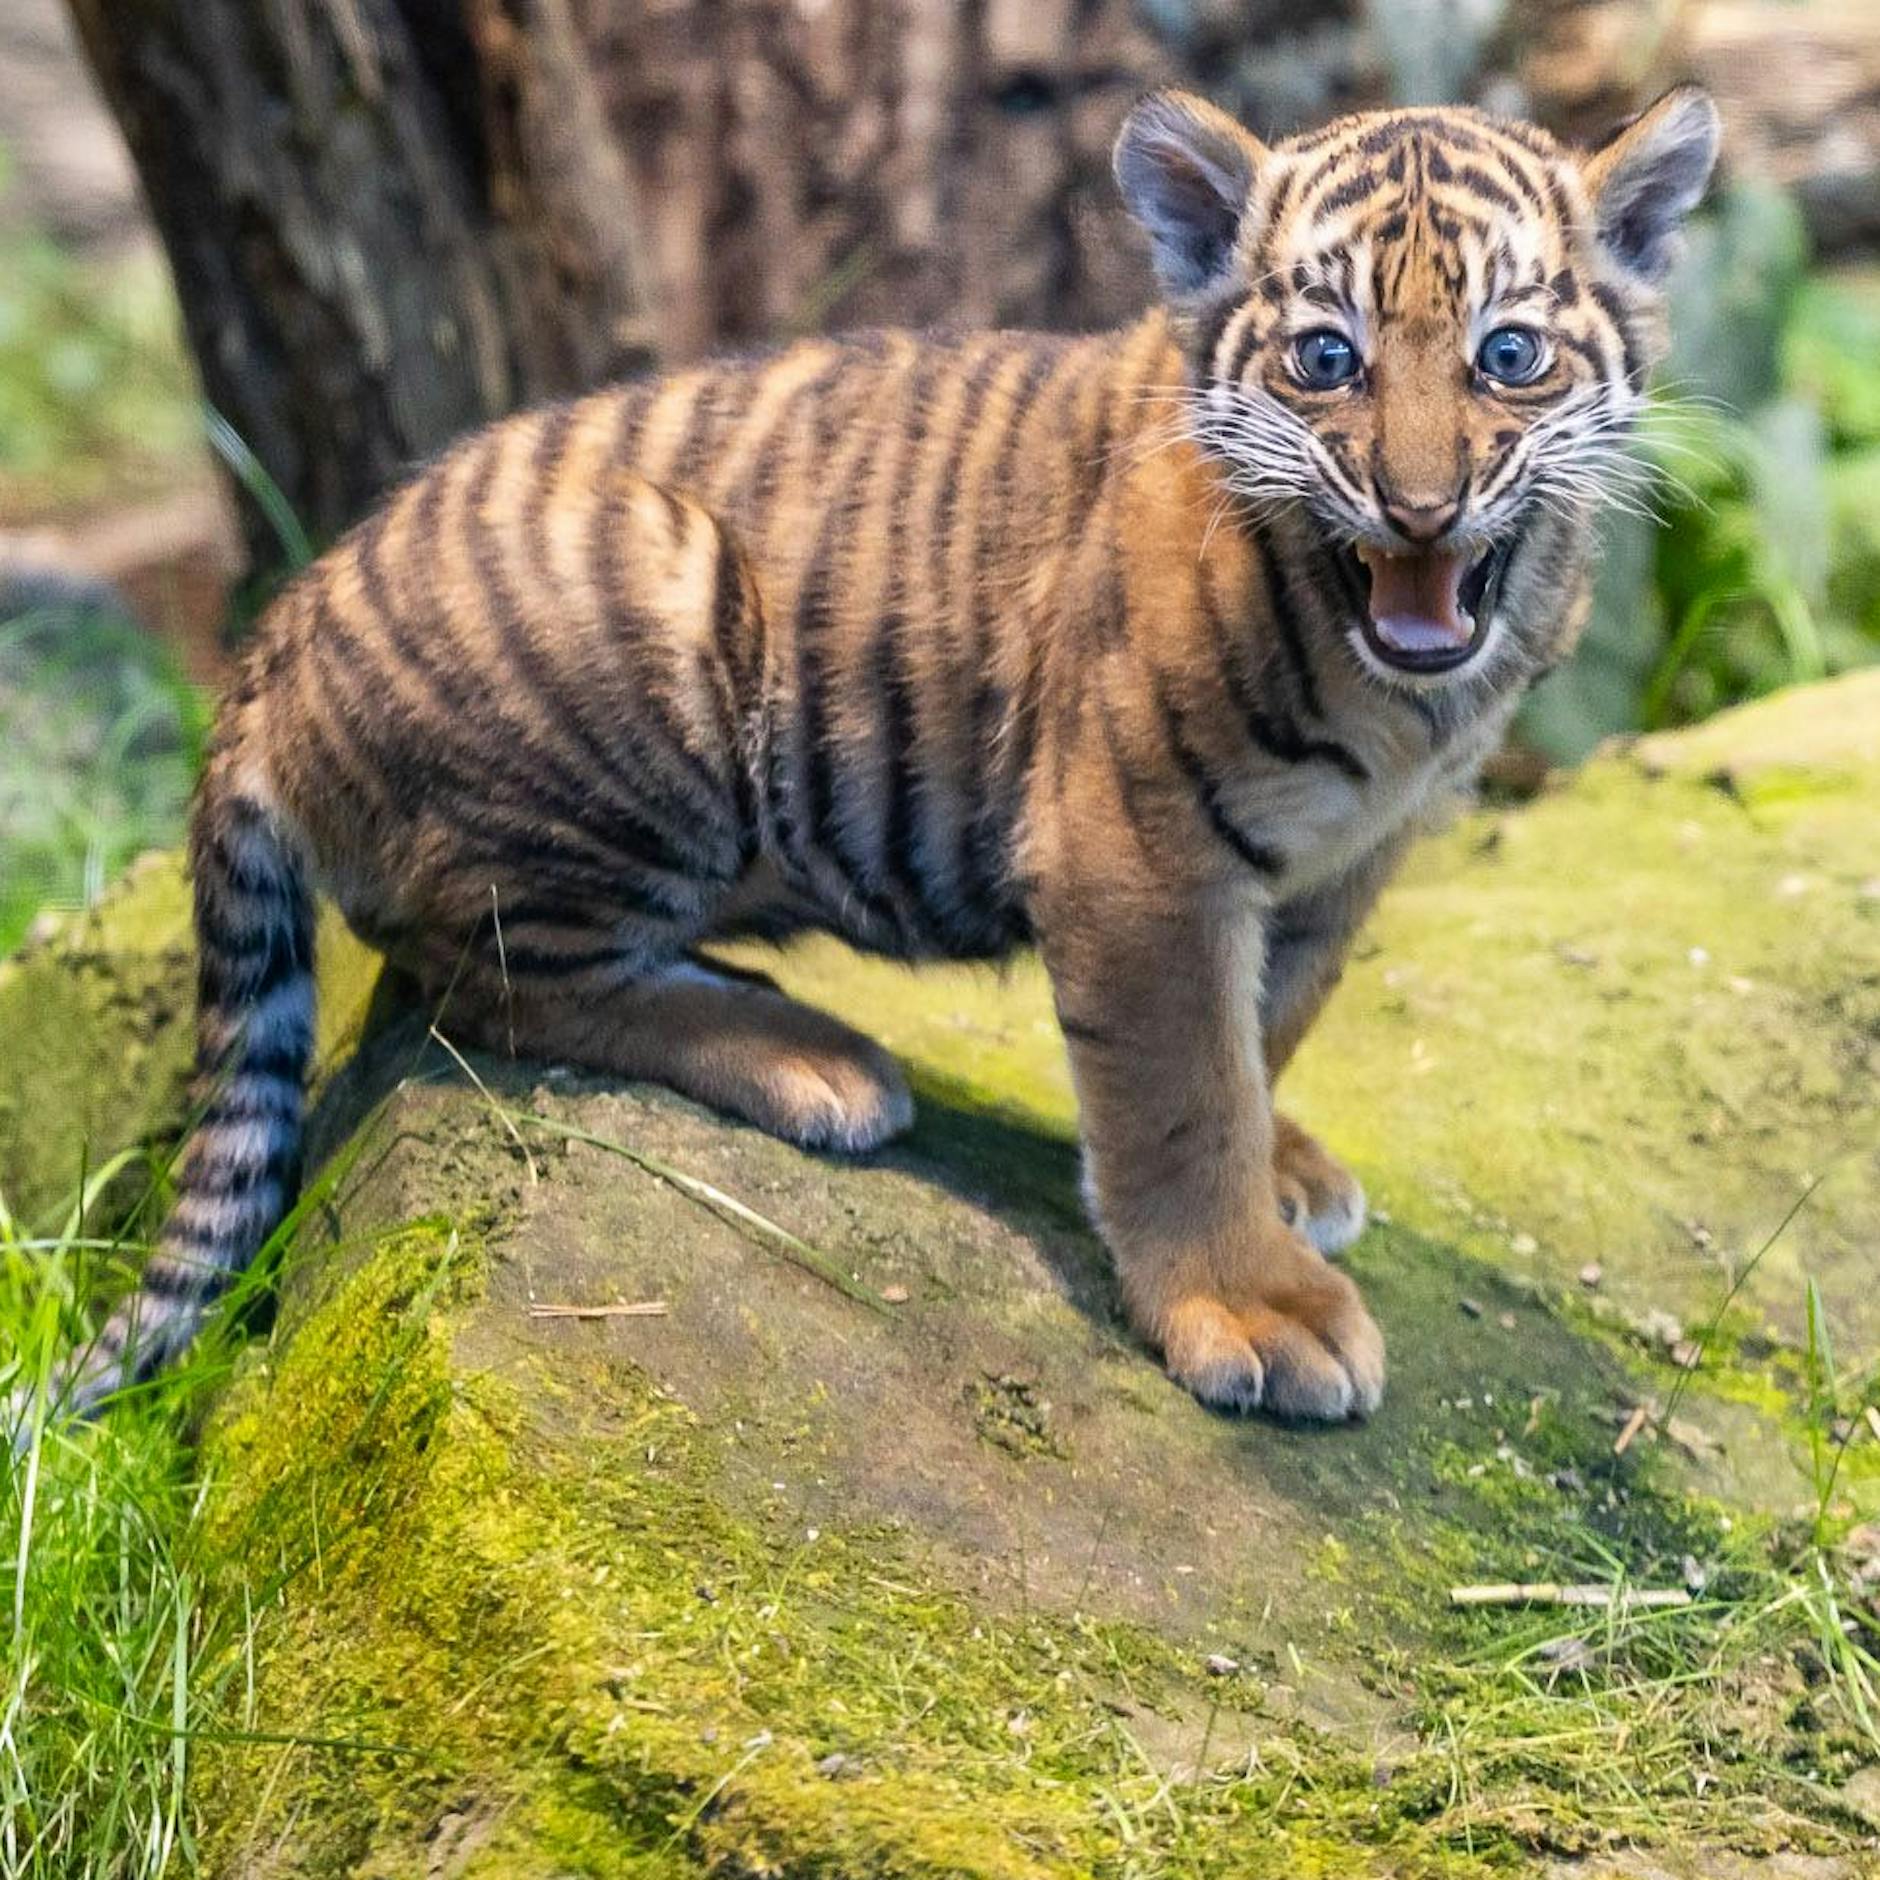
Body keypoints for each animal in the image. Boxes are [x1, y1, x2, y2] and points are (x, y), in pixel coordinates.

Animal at [43, 82, 1720, 1429]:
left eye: (1509, 354)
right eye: (1325, 356)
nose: (1421, 508)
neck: (1409, 698)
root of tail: (277, 630)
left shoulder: (1343, 864)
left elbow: (1277, 1023)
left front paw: (1287, 1170)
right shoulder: (1136, 853)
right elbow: (1185, 1090)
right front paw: (1249, 1304)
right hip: (660, 629)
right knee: (475, 982)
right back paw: (810, 1057)